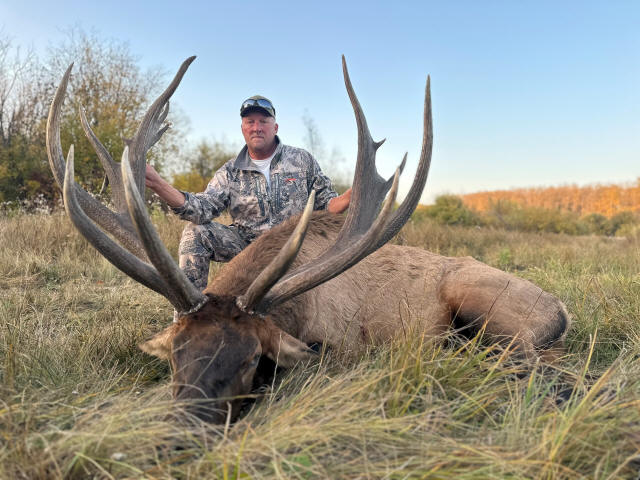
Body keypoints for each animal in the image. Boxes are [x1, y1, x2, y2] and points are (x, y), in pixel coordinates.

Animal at [46, 56, 570, 424]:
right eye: (176, 354)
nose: (184, 428)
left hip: (490, 308)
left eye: (252, 359)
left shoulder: (340, 346)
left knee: (533, 363)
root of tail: (561, 311)